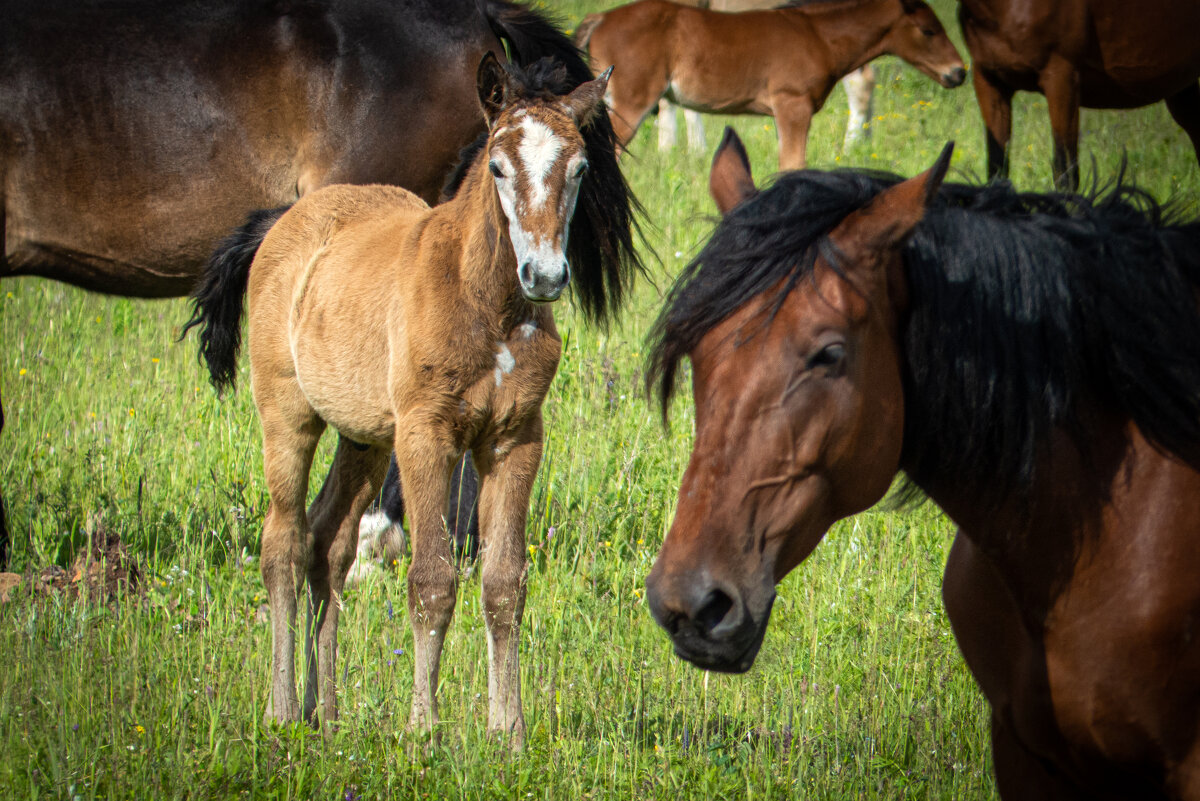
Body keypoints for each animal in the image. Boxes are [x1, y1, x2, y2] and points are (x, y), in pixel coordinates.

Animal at [184, 57, 628, 743]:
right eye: (498, 167)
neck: (486, 303)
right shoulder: (426, 436)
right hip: (288, 415)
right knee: (283, 544)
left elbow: (504, 585)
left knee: (327, 545)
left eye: (579, 168)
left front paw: (509, 732)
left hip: (364, 437)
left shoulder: (515, 439)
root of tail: (281, 219)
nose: (546, 276)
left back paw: (326, 714)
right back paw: (283, 709)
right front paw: (424, 729)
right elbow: (432, 580)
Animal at [573, 0, 964, 167]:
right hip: (630, 103)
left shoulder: (781, 114)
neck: (818, 35)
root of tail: (600, 17)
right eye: (929, 30)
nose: (958, 72)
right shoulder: (794, 105)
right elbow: (793, 164)